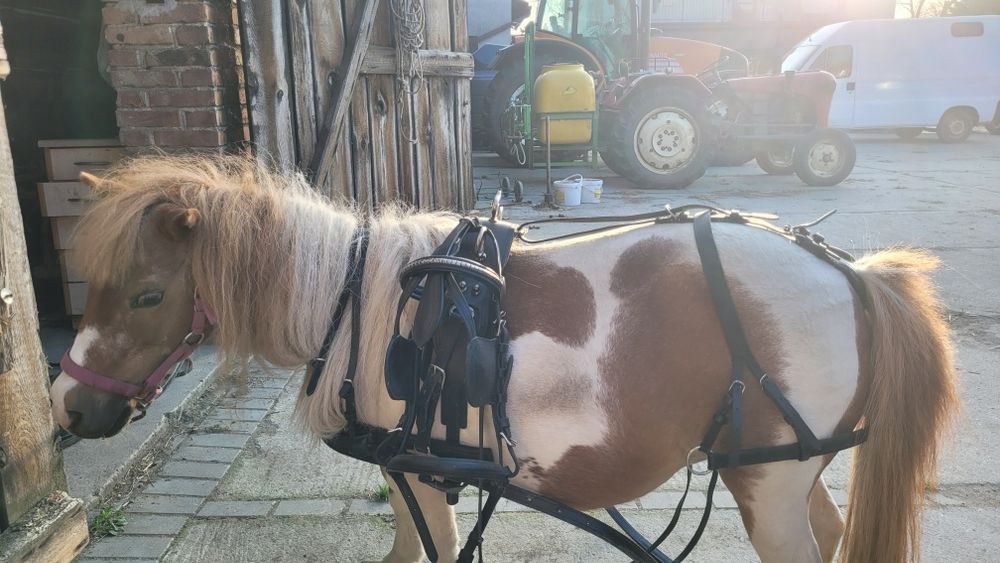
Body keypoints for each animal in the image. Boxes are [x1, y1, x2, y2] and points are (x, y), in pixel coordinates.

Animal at [49, 154, 958, 563]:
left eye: (146, 295)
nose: (66, 406)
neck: (366, 304)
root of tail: (851, 274)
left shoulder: (419, 475)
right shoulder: (410, 475)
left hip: (766, 484)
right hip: (790, 475)